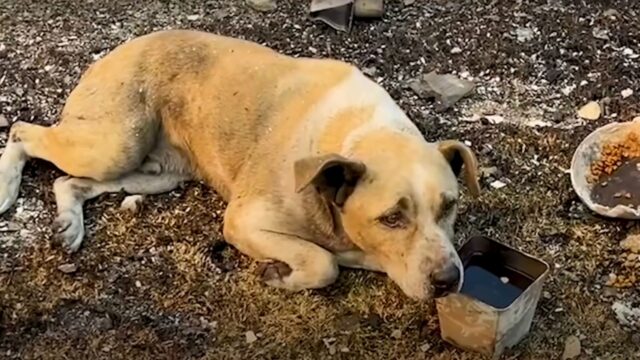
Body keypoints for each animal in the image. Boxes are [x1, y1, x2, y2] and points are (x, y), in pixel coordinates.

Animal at [0, 29, 480, 300]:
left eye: (450, 206)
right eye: (391, 218)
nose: (448, 279)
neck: (354, 137)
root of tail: (119, 47)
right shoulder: (245, 221)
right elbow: (323, 264)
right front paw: (282, 275)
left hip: (154, 174)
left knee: (69, 181)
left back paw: (69, 224)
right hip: (113, 143)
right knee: (22, 130)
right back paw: (6, 187)